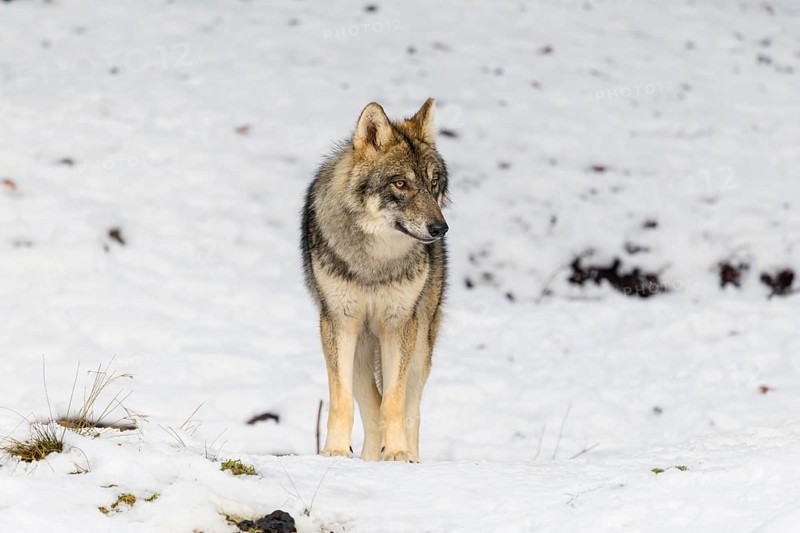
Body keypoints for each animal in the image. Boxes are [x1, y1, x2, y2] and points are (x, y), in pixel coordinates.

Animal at [301, 99, 449, 462]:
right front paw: (335, 452)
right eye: (400, 184)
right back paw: (369, 458)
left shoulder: (399, 324)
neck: (375, 263)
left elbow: (394, 403)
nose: (440, 229)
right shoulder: (339, 323)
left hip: (420, 346)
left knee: (410, 409)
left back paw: (409, 454)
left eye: (433, 182)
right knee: (369, 407)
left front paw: (397, 454)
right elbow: (342, 402)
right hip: (359, 350)